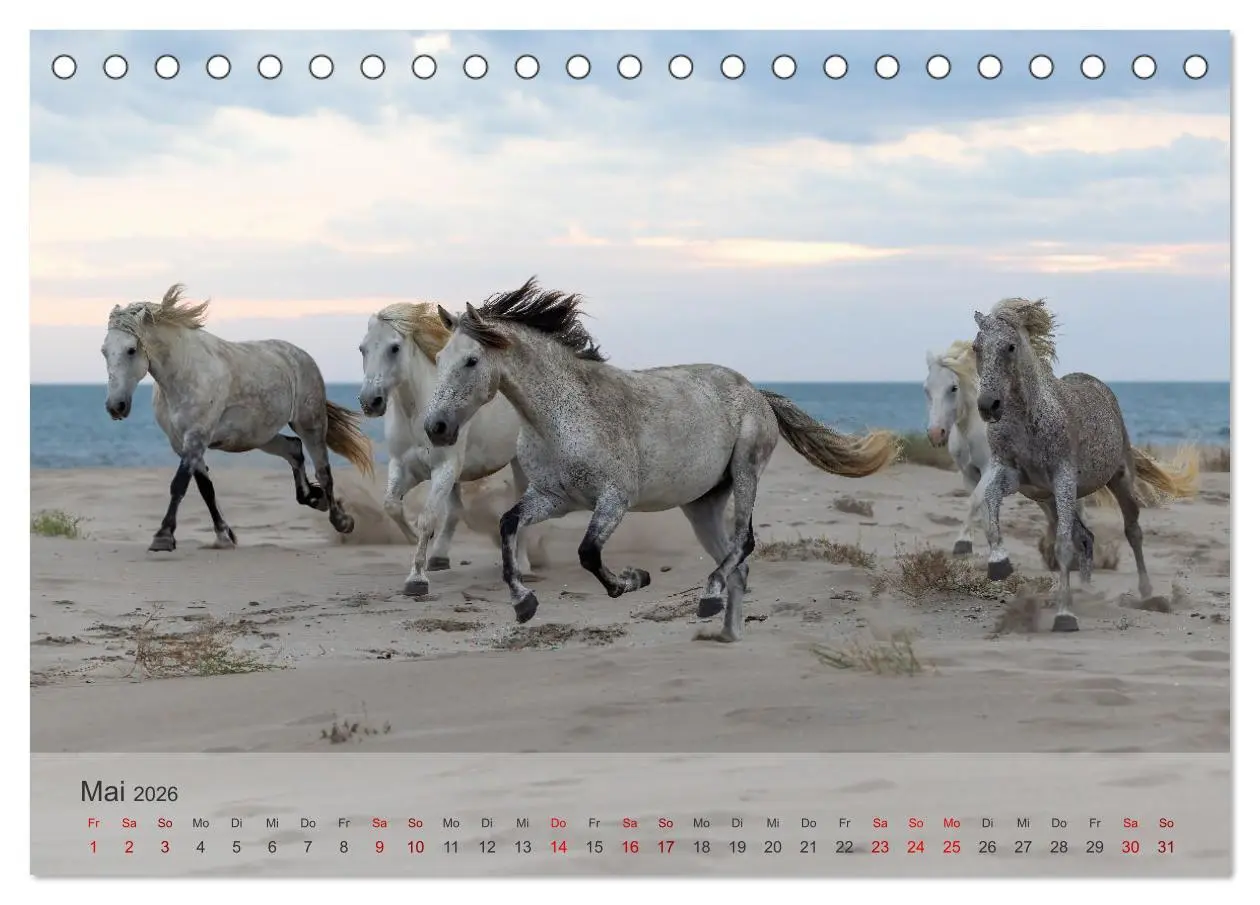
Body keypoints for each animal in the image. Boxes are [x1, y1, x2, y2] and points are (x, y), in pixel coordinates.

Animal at [102, 283, 375, 551]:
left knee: (323, 470)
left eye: (131, 350)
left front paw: (163, 537)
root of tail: (300, 355)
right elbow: (206, 489)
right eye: (104, 351)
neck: (184, 373)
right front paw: (224, 536)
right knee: (293, 449)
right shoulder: (182, 444)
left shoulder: (196, 437)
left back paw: (342, 521)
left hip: (309, 423)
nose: (116, 406)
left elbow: (179, 484)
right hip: (260, 436)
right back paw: (312, 498)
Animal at [357, 301, 533, 597]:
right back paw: (440, 556)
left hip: (519, 462)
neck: (417, 412)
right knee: (455, 510)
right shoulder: (404, 466)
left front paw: (416, 579)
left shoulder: (444, 468)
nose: (371, 402)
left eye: (394, 348)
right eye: (363, 348)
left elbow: (428, 518)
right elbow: (392, 505)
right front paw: (415, 543)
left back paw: (525, 566)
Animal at [421, 278, 902, 642]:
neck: (562, 414)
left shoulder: (614, 500)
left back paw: (708, 600)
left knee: (744, 545)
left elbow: (588, 554)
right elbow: (508, 525)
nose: (436, 427)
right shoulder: (554, 499)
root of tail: (757, 393)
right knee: (738, 564)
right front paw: (524, 604)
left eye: (471, 360)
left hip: (746, 472)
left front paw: (633, 580)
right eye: (440, 359)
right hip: (702, 504)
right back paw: (725, 632)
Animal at [971, 297, 1199, 631]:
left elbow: (1063, 546)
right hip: (1048, 501)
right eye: (976, 347)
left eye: (1010, 347)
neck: (1029, 420)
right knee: (1086, 538)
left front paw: (1065, 616)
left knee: (1132, 531)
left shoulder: (1063, 479)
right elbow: (990, 501)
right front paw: (999, 564)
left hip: (1119, 480)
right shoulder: (1017, 477)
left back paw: (1146, 594)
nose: (988, 406)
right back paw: (1086, 593)